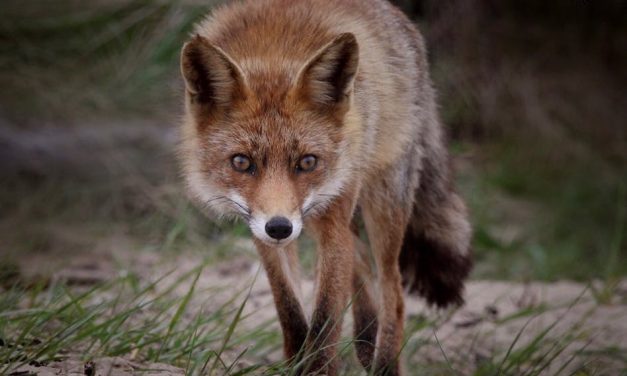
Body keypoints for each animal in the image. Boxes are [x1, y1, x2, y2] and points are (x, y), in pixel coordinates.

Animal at [177, 0, 472, 374]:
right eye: (241, 162)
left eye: (307, 162)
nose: (279, 227)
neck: (274, 54)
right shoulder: (264, 232)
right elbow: (291, 312)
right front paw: (297, 361)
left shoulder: (332, 224)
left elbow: (325, 320)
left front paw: (317, 366)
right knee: (361, 263)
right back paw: (365, 339)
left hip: (381, 203)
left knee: (392, 289)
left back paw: (384, 362)